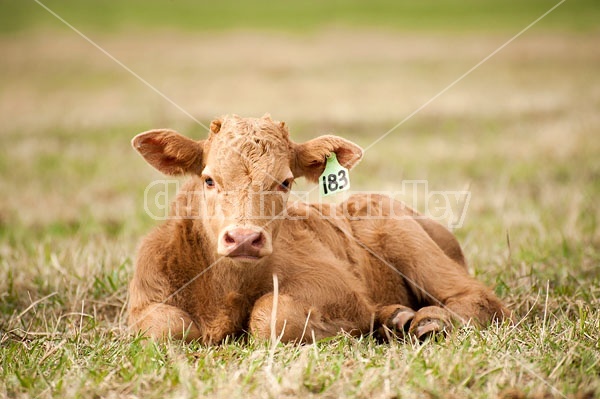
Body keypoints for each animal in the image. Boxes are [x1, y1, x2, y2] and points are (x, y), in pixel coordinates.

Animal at [129, 115, 508, 344]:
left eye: (285, 182)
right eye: (209, 179)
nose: (245, 239)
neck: (225, 289)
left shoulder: (341, 288)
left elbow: (270, 314)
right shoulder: (143, 300)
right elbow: (167, 325)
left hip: (406, 240)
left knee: (479, 298)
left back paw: (429, 321)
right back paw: (395, 318)